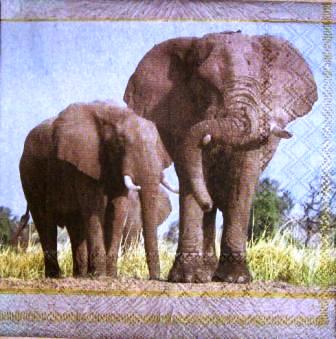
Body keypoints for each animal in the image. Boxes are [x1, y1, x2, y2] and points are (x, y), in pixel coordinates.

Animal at [19, 100, 176, 278]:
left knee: (75, 225)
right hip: (30, 174)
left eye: (157, 144)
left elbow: (118, 209)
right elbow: (94, 207)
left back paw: (80, 275)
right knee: (45, 221)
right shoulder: (83, 161)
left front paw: (111, 275)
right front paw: (100, 275)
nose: (156, 277)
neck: (113, 115)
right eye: (119, 143)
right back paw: (55, 276)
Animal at [124, 31, 318, 282]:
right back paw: (205, 272)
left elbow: (243, 178)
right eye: (205, 85)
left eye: (263, 85)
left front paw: (236, 279)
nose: (205, 201)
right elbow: (190, 170)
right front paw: (186, 278)